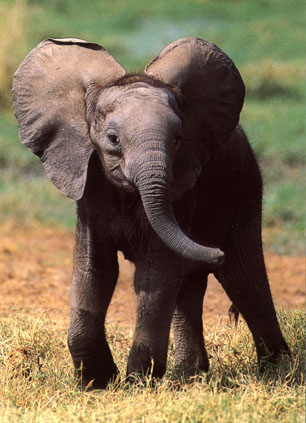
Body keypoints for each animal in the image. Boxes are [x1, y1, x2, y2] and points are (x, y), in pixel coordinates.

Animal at [11, 37, 290, 390]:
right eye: (113, 139)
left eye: (177, 139)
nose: (216, 252)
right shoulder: (90, 193)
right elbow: (95, 271)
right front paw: (96, 383)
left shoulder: (181, 191)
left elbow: (154, 274)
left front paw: (137, 383)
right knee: (191, 288)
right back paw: (189, 379)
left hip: (245, 191)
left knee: (246, 283)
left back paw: (280, 371)